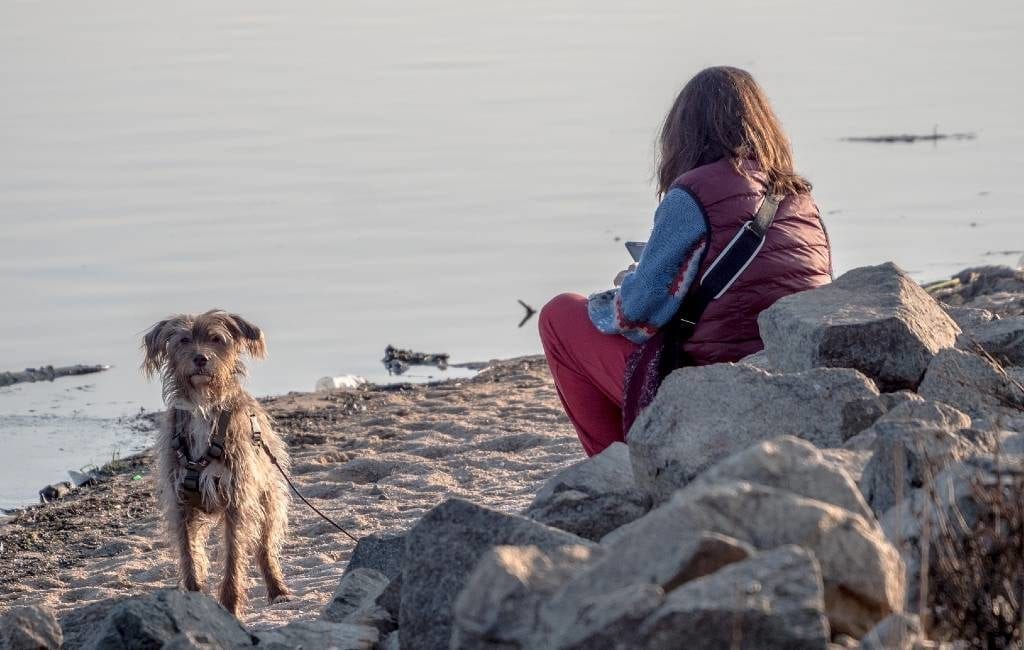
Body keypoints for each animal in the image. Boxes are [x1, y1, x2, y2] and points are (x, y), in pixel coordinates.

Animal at [142, 311, 290, 614]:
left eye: (216, 339)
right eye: (184, 340)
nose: (200, 358)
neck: (203, 405)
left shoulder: (236, 500)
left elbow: (234, 556)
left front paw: (230, 607)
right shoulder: (180, 504)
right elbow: (189, 556)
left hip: (269, 498)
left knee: (265, 547)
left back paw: (277, 589)